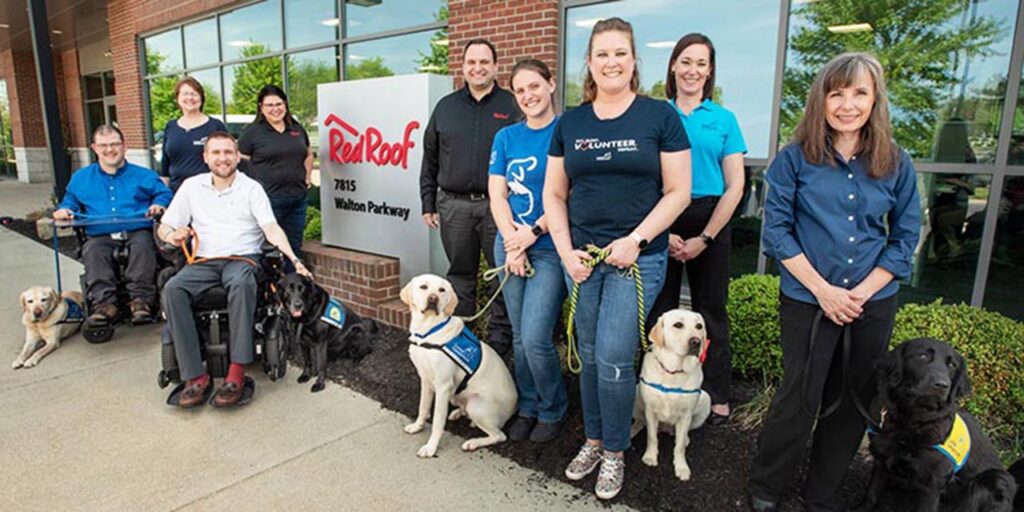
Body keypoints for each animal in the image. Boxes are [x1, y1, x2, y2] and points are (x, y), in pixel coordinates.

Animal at [856, 337, 1015, 509]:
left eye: (952, 365)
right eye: (923, 356)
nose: (942, 385)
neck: (910, 421)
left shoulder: (931, 483)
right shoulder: (881, 459)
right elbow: (871, 493)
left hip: (995, 479)